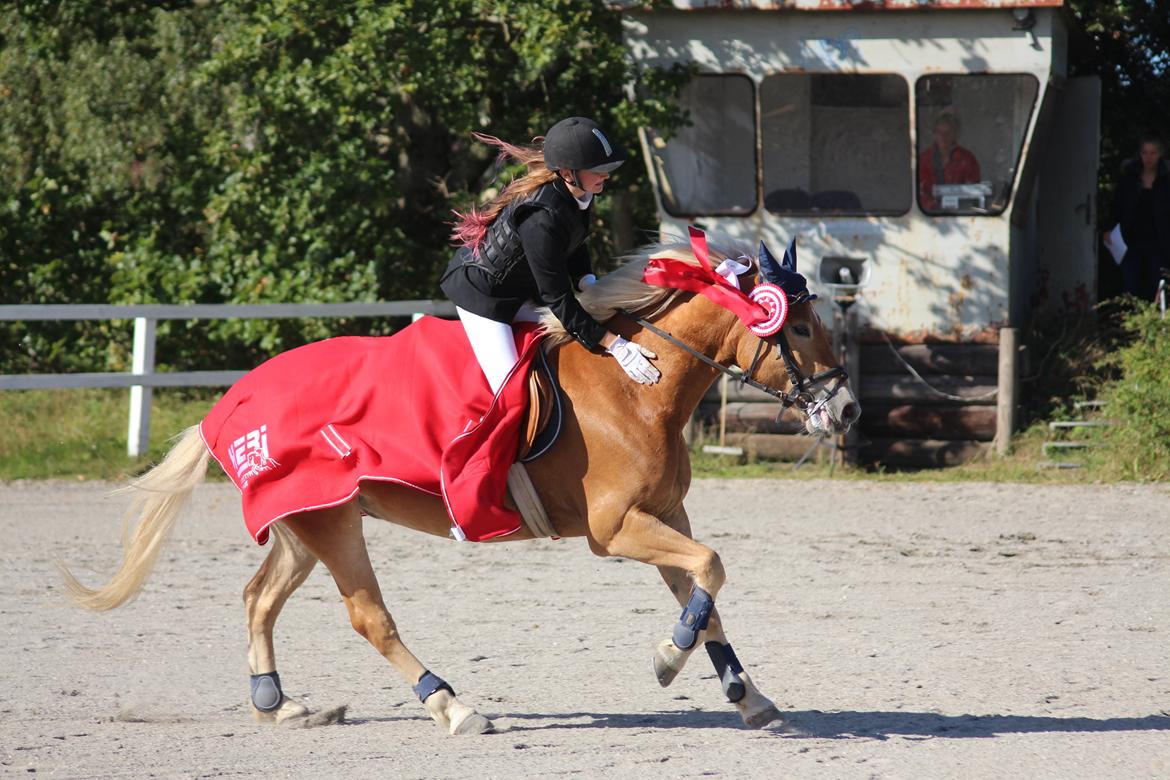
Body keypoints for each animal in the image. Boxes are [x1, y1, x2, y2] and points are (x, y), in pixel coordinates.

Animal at [57, 231, 861, 734]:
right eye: (797, 328)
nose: (848, 408)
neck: (641, 388)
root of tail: (233, 402)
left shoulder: (666, 516)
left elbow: (705, 591)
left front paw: (747, 695)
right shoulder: (615, 529)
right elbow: (711, 572)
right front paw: (668, 661)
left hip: (306, 519)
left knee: (259, 599)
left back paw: (279, 706)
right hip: (334, 523)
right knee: (369, 618)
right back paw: (452, 707)